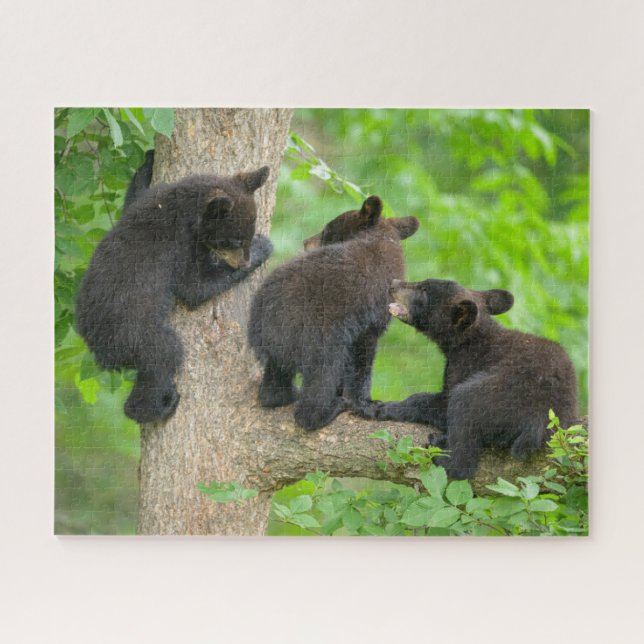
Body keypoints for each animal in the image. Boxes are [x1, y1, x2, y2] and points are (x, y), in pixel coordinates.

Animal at [75, 158, 272, 424]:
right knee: (165, 355)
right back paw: (157, 406)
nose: (242, 263)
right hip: (135, 333)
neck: (182, 206)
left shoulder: (149, 199)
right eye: (232, 241)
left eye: (247, 236)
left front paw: (147, 161)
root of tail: (96, 347)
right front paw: (264, 248)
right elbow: (193, 287)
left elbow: (132, 199)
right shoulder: (178, 245)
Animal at [248, 196, 420, 430]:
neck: (382, 239)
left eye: (327, 229)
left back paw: (282, 396)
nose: (306, 242)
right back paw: (328, 410)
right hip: (318, 337)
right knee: (324, 375)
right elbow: (362, 359)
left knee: (276, 379)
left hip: (279, 348)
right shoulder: (369, 318)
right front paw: (366, 402)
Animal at [358, 278, 578, 480]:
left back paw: (441, 453)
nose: (393, 283)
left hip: (500, 394)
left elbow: (437, 402)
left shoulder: (465, 365)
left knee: (464, 412)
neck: (467, 341)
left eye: (424, 290)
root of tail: (542, 418)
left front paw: (381, 407)